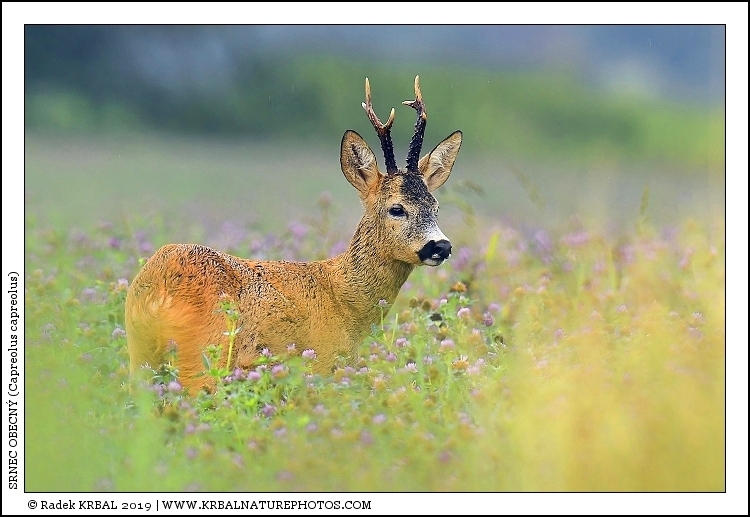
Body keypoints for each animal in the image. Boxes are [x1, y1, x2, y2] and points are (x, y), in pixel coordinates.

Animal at [125, 76, 463, 393]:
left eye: (436, 206)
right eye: (396, 208)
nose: (441, 246)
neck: (344, 298)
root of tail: (158, 284)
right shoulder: (323, 362)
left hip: (140, 353)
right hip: (206, 354)